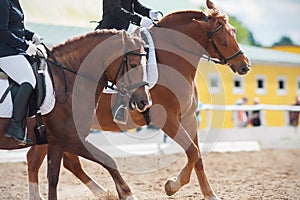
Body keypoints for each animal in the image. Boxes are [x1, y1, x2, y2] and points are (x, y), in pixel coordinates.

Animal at [0, 28, 150, 199]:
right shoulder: (71, 139)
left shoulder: (56, 142)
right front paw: (127, 194)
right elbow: (108, 160)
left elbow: (53, 178)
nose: (145, 101)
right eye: (133, 65)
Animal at [27, 0, 251, 199]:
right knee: (40, 159)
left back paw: (102, 193)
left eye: (234, 32)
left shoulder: (188, 118)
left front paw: (209, 194)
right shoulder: (167, 119)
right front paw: (171, 186)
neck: (172, 59)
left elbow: (197, 156)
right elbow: (192, 151)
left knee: (60, 161)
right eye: (223, 38)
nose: (245, 66)